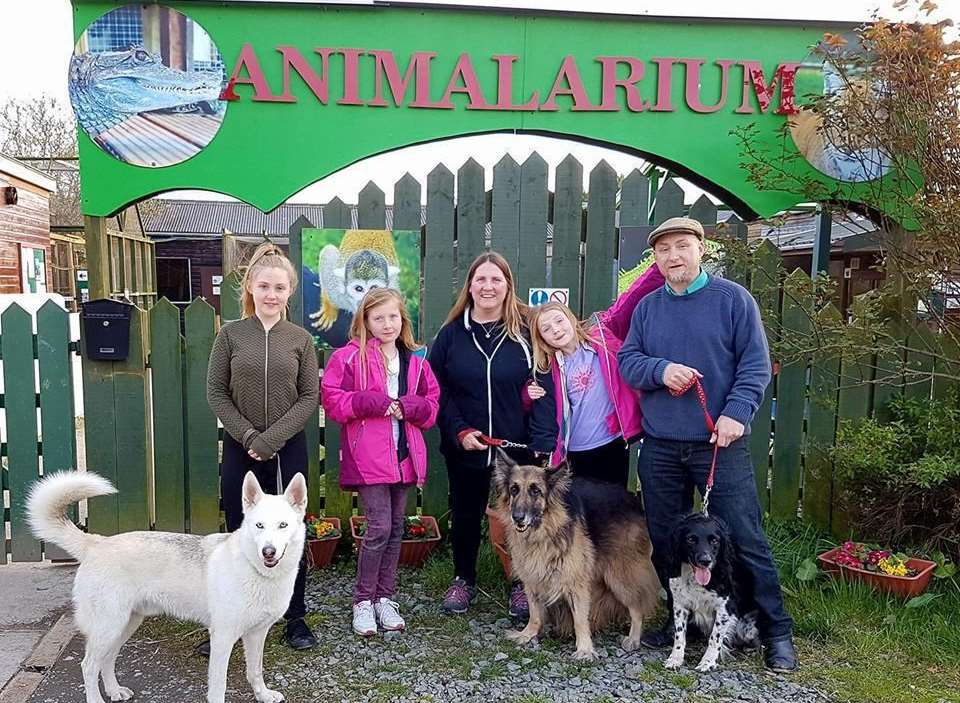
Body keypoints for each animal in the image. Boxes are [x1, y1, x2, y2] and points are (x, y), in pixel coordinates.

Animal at [28, 470, 308, 703]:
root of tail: (96, 543)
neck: (257, 572)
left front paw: (263, 695)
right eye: (259, 526)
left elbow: (255, 670)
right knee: (88, 666)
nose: (268, 552)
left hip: (124, 626)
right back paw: (97, 699)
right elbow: (219, 684)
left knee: (106, 660)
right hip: (109, 627)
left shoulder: (257, 634)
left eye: (282, 525)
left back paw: (115, 691)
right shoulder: (223, 636)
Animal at [492, 452, 664, 660]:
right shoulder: (532, 577)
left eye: (536, 491)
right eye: (514, 489)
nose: (517, 518)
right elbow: (534, 612)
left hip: (620, 576)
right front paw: (528, 634)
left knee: (637, 607)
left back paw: (633, 638)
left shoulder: (576, 581)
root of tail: (634, 499)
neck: (545, 530)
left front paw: (584, 649)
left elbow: (580, 619)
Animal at [660, 512, 756, 672]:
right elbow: (679, 634)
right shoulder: (680, 604)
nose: (705, 560)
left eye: (715, 540)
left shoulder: (725, 607)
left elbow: (715, 637)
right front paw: (675, 658)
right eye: (691, 539)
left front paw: (708, 661)